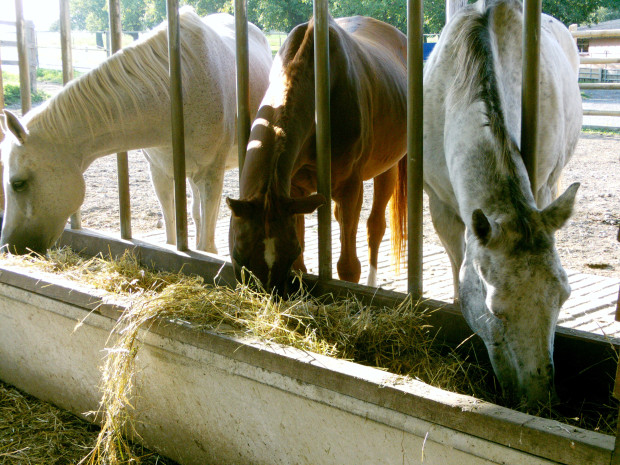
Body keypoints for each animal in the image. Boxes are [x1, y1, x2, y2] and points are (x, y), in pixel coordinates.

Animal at [0, 8, 272, 254]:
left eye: (18, 183)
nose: (9, 246)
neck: (180, 90)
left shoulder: (210, 175)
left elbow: (207, 239)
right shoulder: (160, 174)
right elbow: (173, 236)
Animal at [225, 16, 410, 292]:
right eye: (238, 255)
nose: (270, 294)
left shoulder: (349, 189)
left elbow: (348, 267)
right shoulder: (294, 191)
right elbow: (302, 265)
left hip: (386, 169)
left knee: (375, 227)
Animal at [424, 0, 584, 402]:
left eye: (564, 296)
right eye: (495, 311)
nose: (538, 400)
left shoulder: (542, 187)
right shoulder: (438, 203)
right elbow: (458, 264)